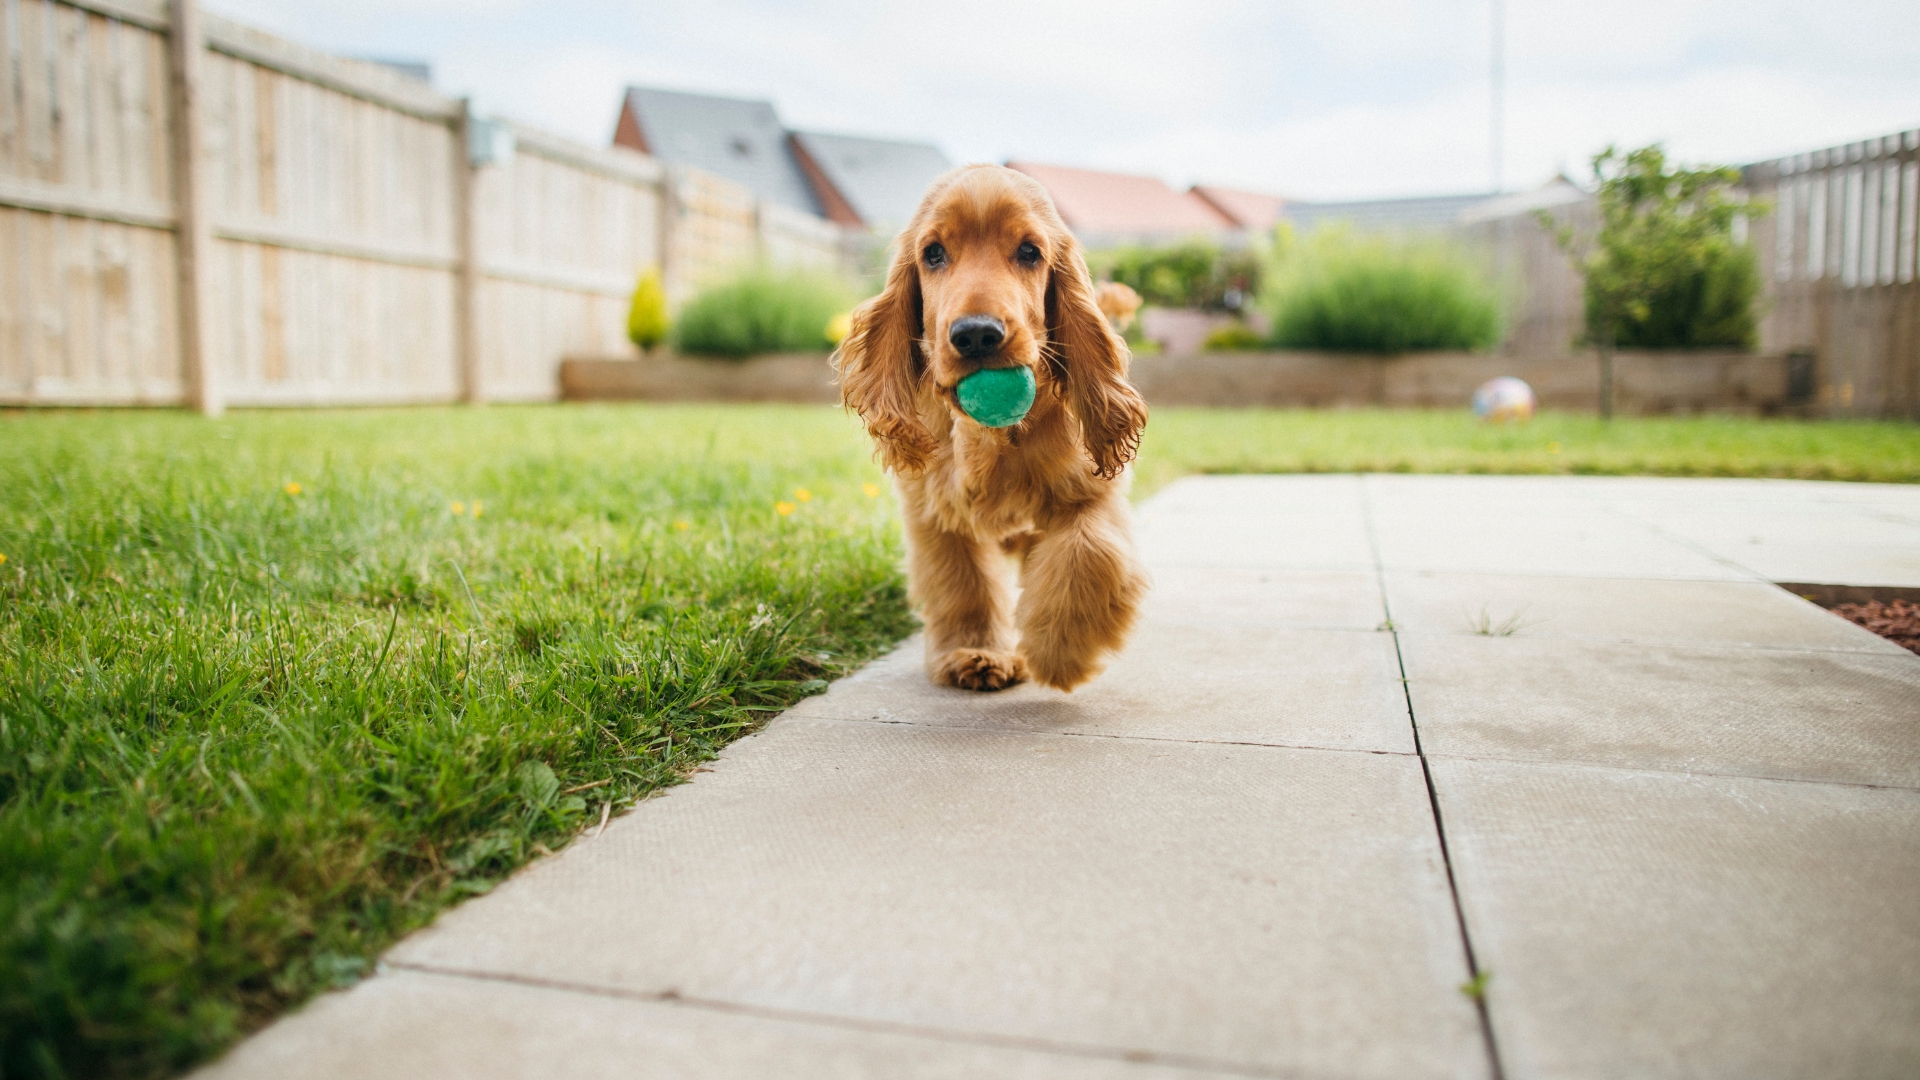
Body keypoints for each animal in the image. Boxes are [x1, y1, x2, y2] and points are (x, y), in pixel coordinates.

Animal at [833, 167, 1144, 687]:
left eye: (1029, 252)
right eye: (933, 253)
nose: (977, 334)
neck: (993, 437)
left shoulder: (1092, 491)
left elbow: (1088, 551)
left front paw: (1061, 649)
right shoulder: (935, 510)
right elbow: (964, 581)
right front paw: (976, 651)